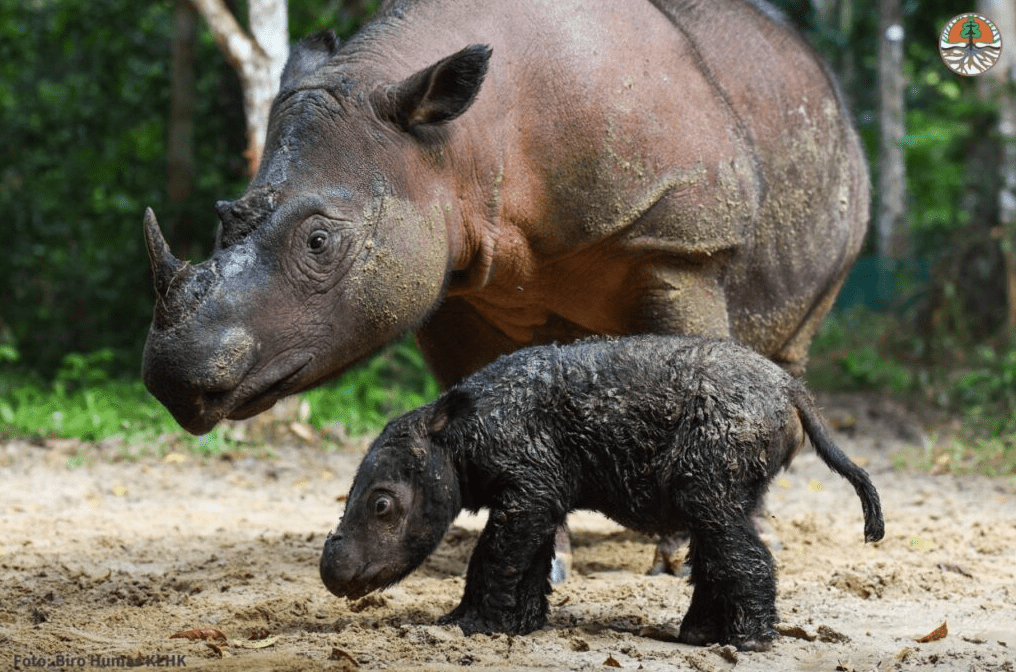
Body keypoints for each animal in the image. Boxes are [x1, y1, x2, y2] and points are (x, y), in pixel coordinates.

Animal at [142, 0, 867, 459]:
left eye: (319, 242)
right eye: (222, 215)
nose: (173, 378)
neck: (454, 145)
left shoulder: (679, 243)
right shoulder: (445, 274)